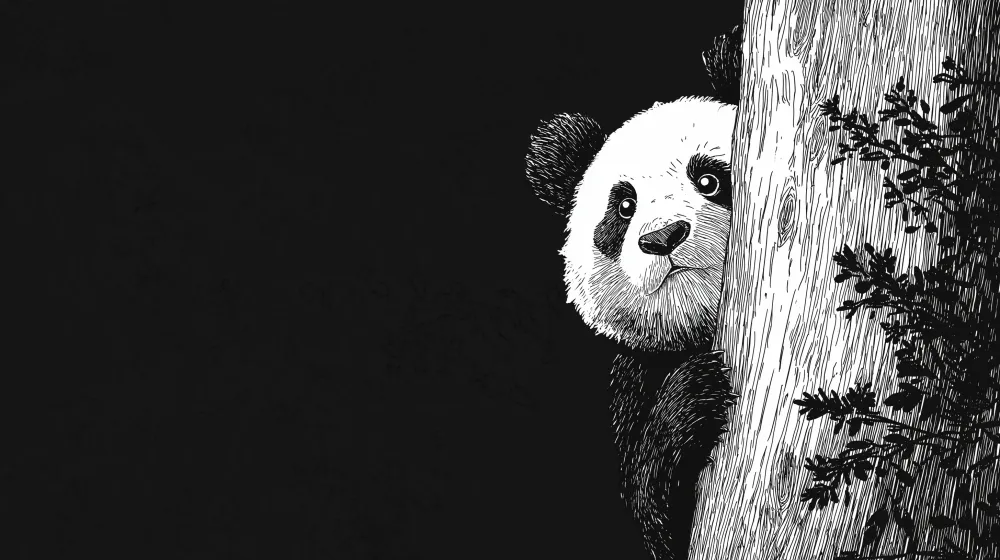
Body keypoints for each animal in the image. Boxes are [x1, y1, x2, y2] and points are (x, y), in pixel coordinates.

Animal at [524, 27, 741, 560]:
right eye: (624, 207)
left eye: (709, 178)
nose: (662, 237)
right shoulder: (634, 379)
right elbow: (657, 513)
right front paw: (695, 392)